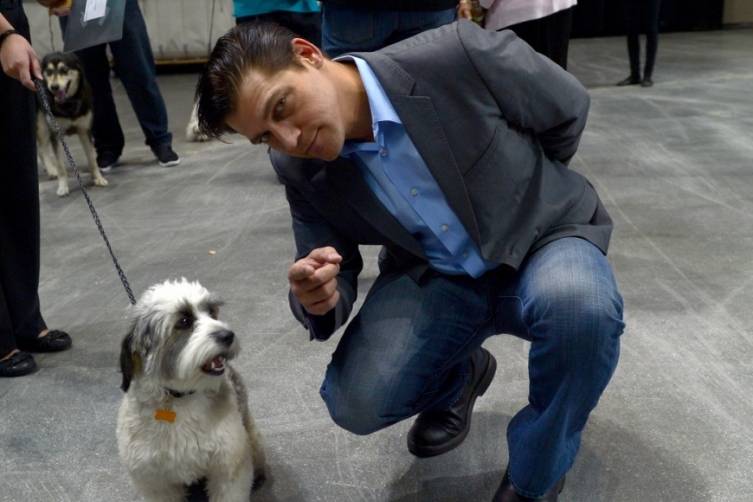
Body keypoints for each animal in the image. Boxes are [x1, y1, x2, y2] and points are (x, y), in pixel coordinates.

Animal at [36, 52, 107, 197]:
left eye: (64, 70)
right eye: (49, 72)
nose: (54, 87)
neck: (68, 104)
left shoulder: (84, 130)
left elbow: (92, 158)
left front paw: (98, 178)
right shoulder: (56, 134)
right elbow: (61, 166)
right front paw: (63, 187)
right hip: (41, 125)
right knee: (42, 148)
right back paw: (52, 170)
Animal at [113, 278, 262, 502]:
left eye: (212, 312)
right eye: (184, 321)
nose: (228, 335)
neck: (180, 398)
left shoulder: (227, 467)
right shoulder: (155, 483)